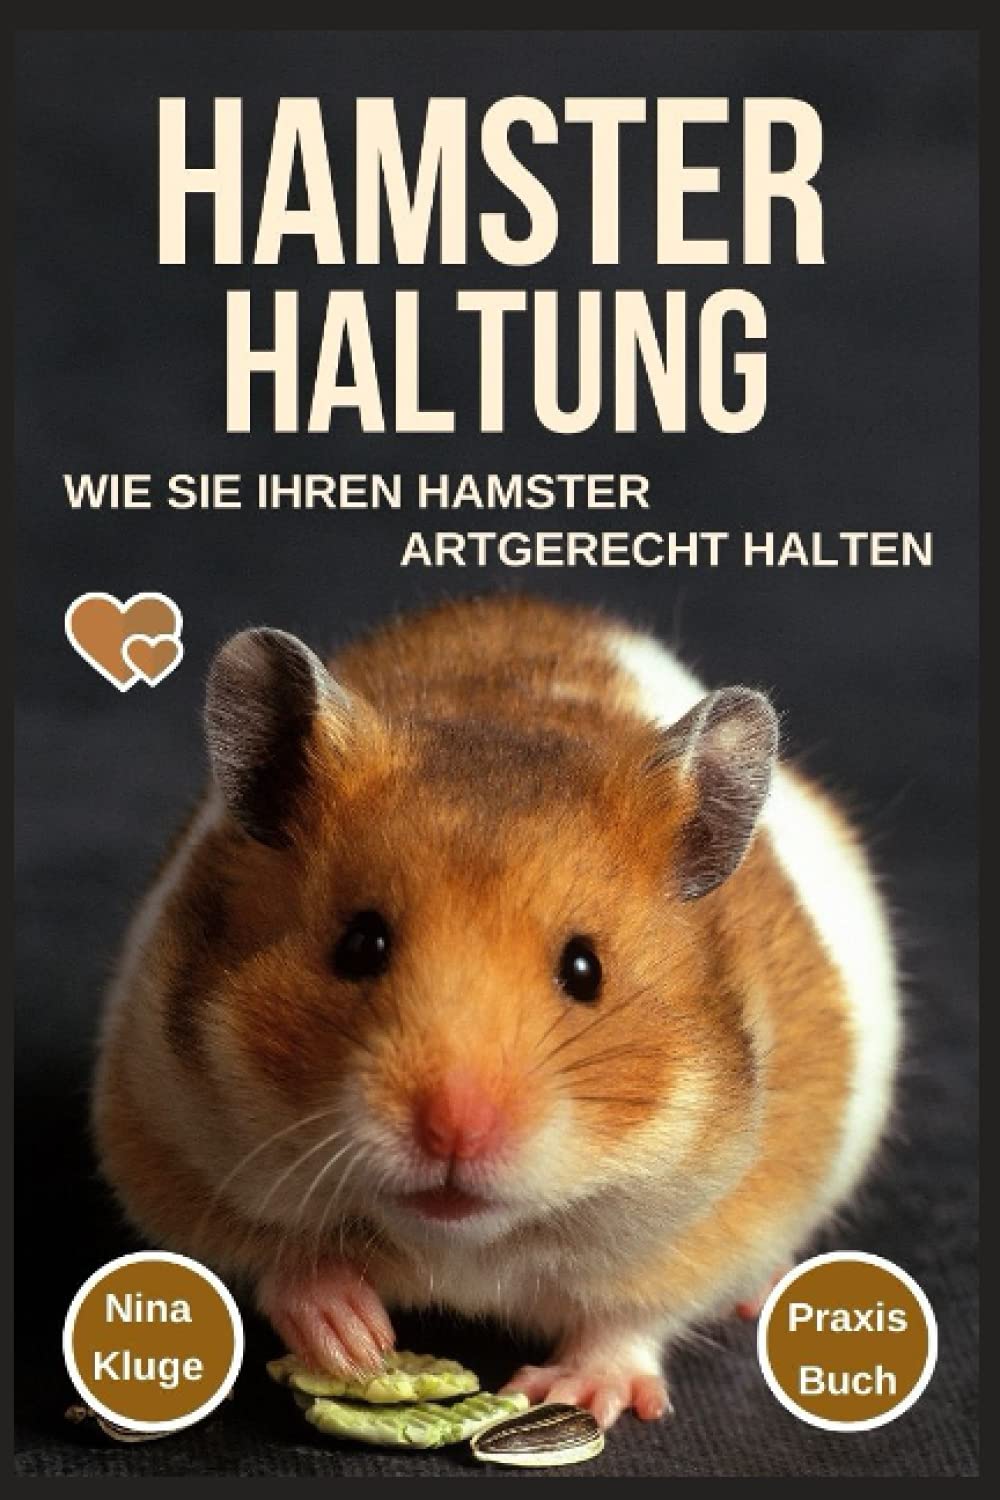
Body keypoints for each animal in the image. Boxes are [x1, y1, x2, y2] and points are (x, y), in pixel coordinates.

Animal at [92, 596, 898, 1428]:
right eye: (360, 943)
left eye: (585, 969)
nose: (455, 1130)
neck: (463, 1241)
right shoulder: (164, 1136)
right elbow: (276, 1258)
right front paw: (354, 1341)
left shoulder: (724, 1216)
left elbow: (631, 1318)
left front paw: (573, 1393)